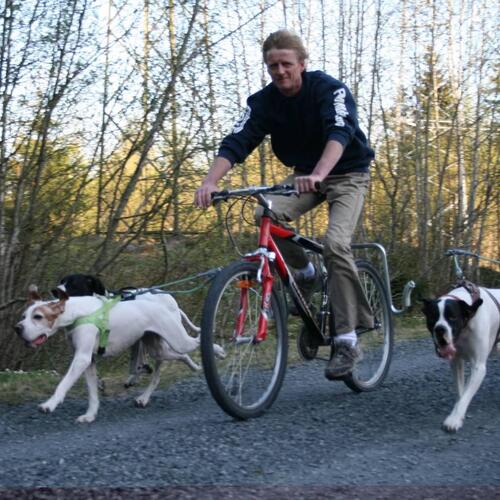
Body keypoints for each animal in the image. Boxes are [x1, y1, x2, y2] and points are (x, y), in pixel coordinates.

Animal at [14, 286, 225, 422]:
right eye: (24, 316)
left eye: (38, 317)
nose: (17, 328)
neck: (77, 313)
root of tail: (165, 304)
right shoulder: (89, 362)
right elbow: (92, 392)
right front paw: (90, 415)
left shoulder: (81, 359)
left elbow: (63, 384)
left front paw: (50, 404)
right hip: (159, 349)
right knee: (179, 357)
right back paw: (192, 367)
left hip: (178, 340)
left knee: (198, 340)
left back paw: (219, 351)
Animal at [422, 284, 500, 432]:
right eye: (432, 318)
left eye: (452, 318)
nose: (440, 329)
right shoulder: (456, 362)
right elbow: (461, 393)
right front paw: (458, 414)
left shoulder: (478, 367)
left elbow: (465, 396)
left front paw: (454, 420)